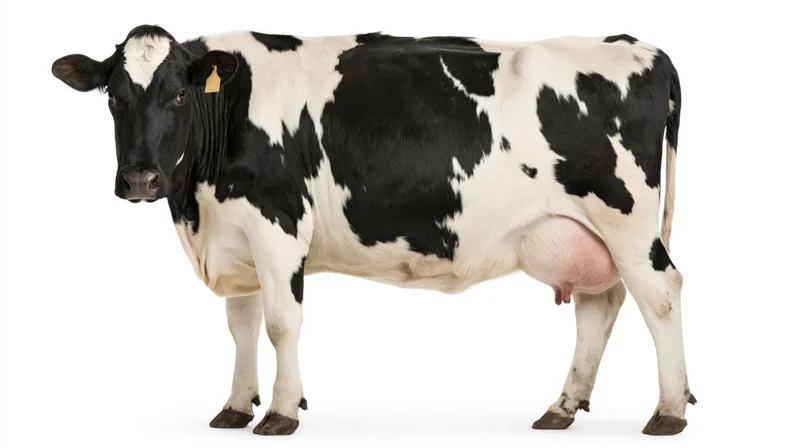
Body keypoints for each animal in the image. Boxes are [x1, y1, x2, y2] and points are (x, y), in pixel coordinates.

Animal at [51, 24, 694, 437]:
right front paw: (235, 407)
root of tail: (645, 48)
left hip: (627, 223)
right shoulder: (237, 236)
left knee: (661, 295)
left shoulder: (278, 224)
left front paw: (281, 411)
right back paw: (563, 407)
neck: (197, 207)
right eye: (113, 97)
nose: (140, 178)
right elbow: (241, 327)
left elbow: (281, 324)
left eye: (180, 93)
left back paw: (669, 412)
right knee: (599, 304)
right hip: (586, 234)